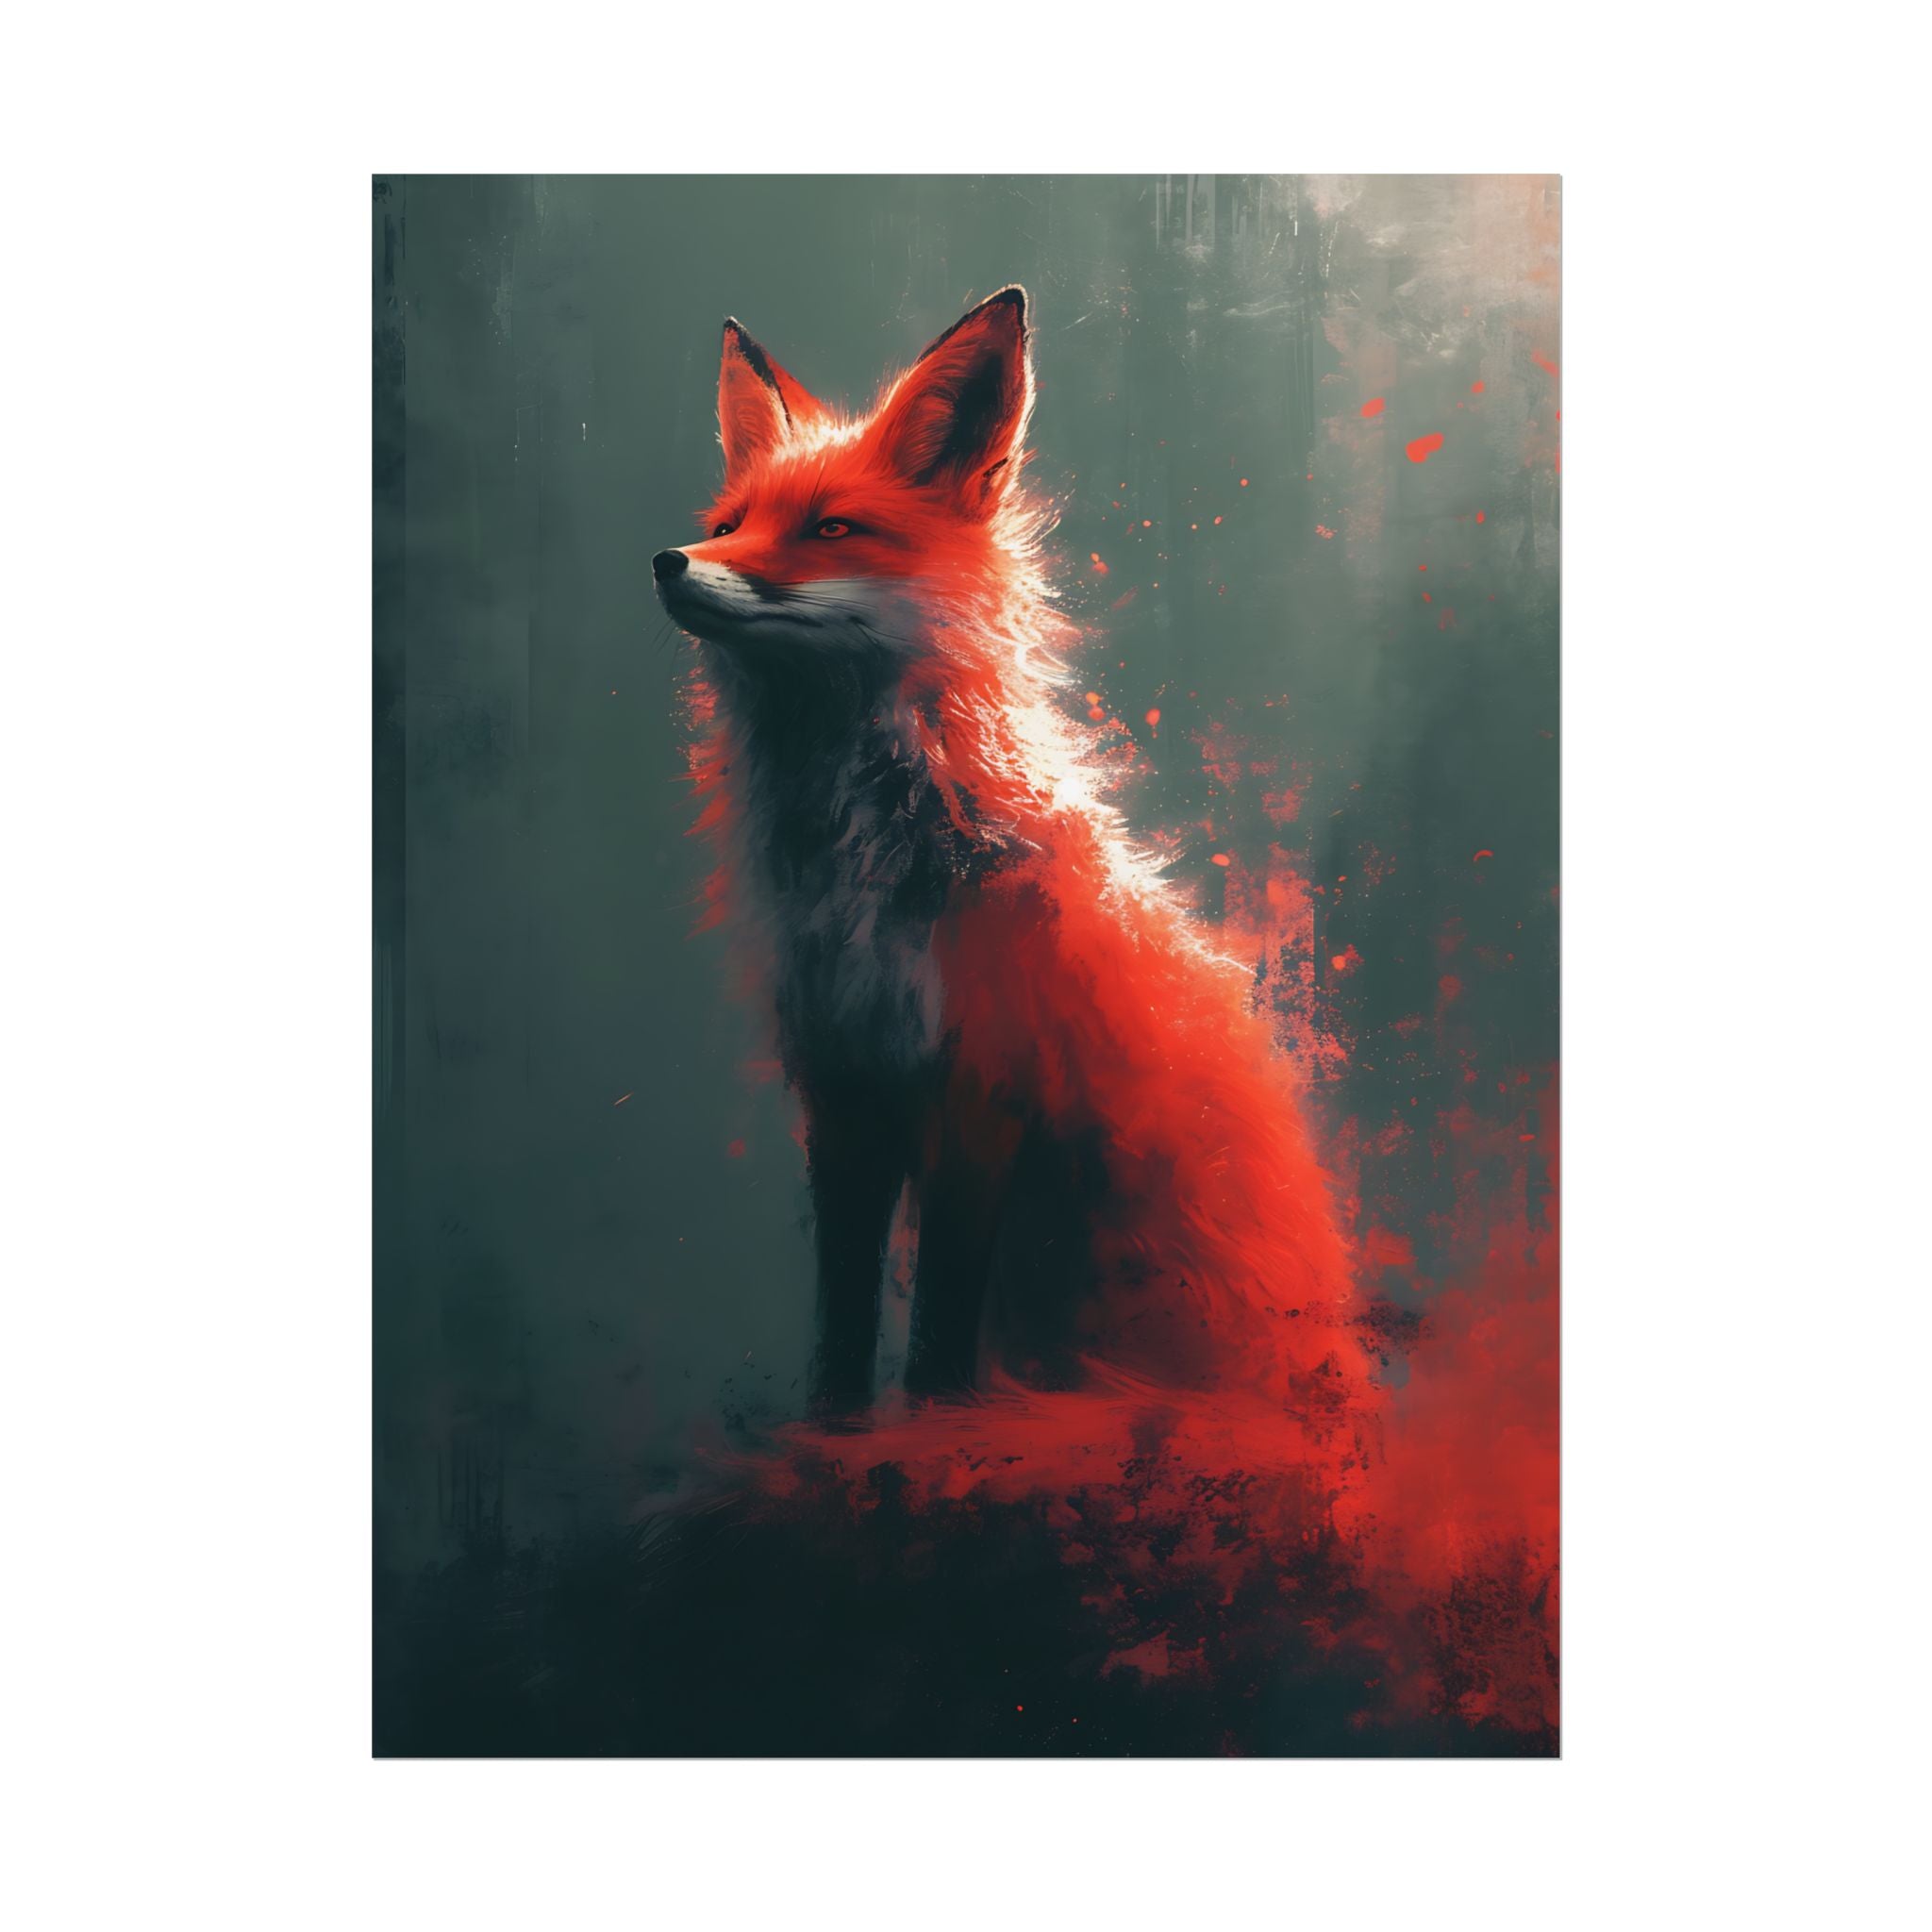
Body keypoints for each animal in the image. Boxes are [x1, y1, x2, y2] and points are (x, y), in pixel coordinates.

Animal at [653, 286, 1374, 1435]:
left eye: (830, 529)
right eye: (729, 526)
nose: (669, 561)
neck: (866, 870)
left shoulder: (981, 1087)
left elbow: (940, 1328)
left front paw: (934, 1430)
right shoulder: (843, 1087)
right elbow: (842, 1313)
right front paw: (834, 1431)